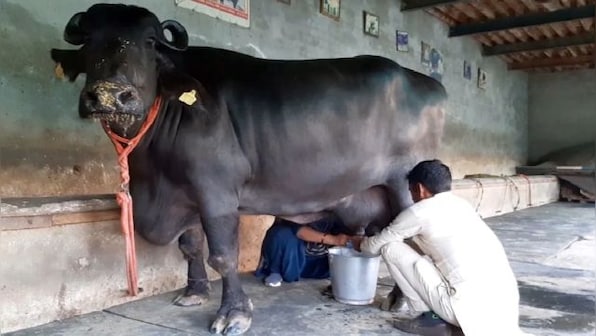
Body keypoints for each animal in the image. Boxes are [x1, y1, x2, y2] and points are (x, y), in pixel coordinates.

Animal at [52, 3, 448, 334]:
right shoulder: (186, 192)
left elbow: (223, 255)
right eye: (88, 41)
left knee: (409, 239)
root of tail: (430, 84)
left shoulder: (216, 192)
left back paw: (401, 301)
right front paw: (194, 292)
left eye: (149, 43)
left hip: (406, 184)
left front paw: (234, 314)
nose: (109, 95)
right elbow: (190, 246)